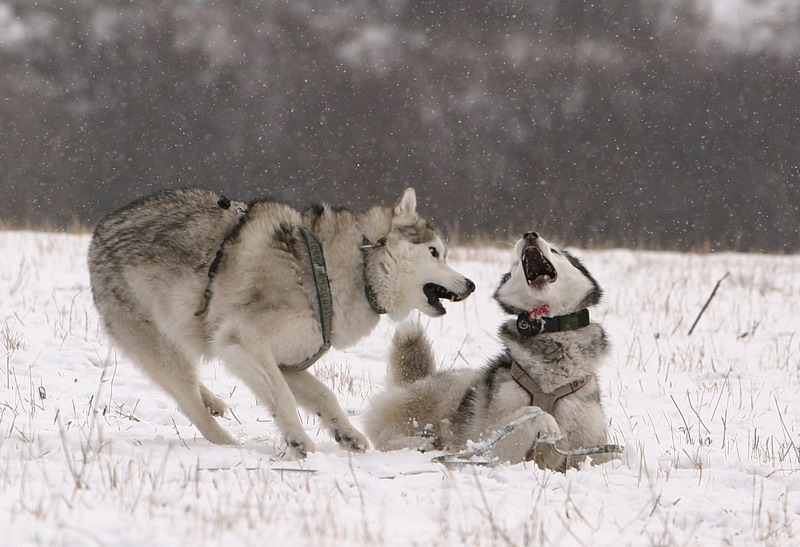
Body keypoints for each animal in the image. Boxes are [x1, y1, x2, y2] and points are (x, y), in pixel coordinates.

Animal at [89, 188, 476, 458]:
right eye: (435, 252)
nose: (471, 284)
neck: (342, 271)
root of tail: (100, 228)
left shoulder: (290, 361)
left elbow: (324, 395)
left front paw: (346, 434)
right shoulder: (241, 344)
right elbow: (283, 398)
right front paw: (299, 441)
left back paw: (214, 401)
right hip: (162, 353)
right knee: (190, 406)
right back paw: (230, 444)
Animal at [366, 231, 608, 470]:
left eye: (556, 251)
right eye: (514, 264)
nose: (530, 234)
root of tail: (414, 381)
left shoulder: (591, 445)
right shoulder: (491, 448)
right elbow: (533, 413)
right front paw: (548, 423)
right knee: (386, 437)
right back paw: (420, 445)